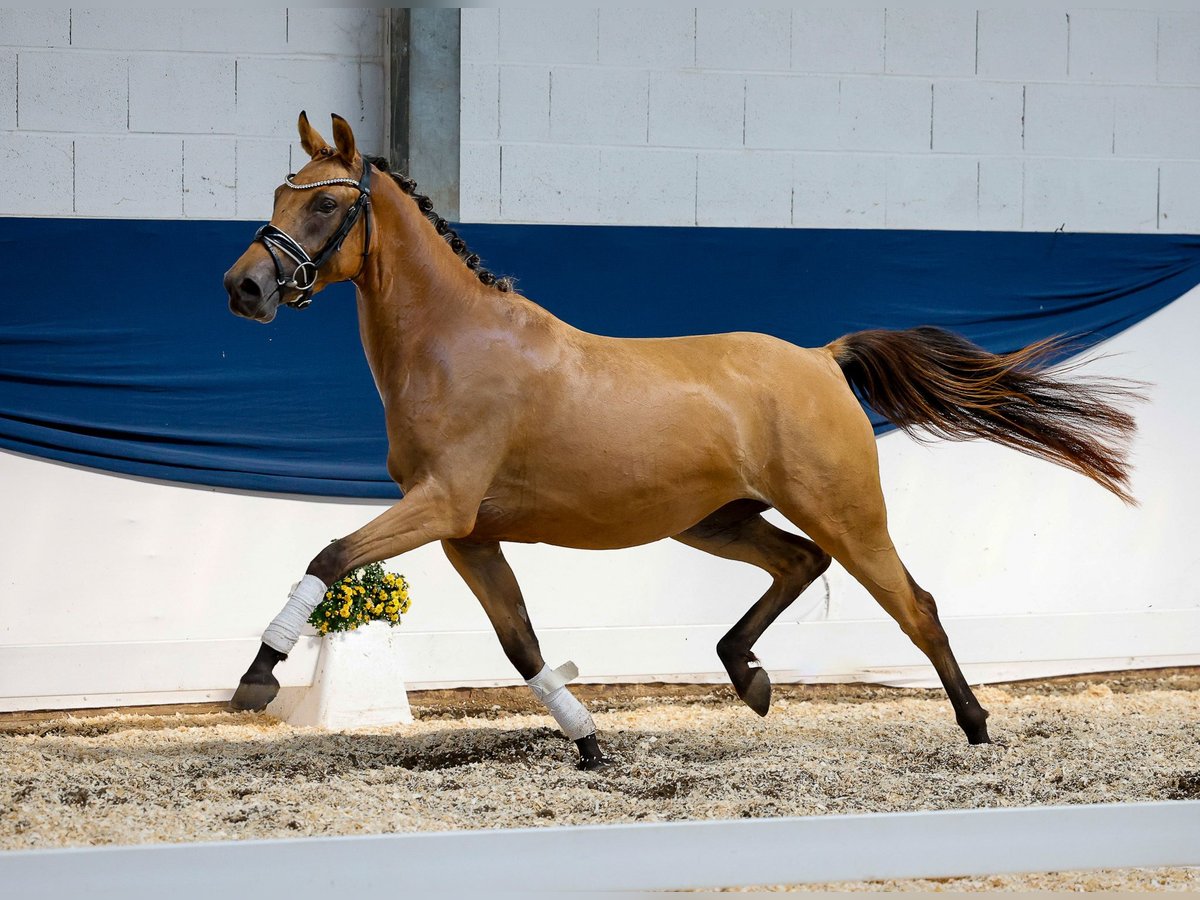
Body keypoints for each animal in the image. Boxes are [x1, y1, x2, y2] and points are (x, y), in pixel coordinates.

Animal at [220, 112, 1137, 772]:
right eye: (279, 194)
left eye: (325, 202)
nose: (244, 287)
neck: (458, 345)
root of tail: (820, 359)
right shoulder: (468, 535)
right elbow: (521, 644)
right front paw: (589, 742)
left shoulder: (439, 508)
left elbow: (330, 557)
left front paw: (258, 678)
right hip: (716, 519)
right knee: (799, 563)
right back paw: (748, 676)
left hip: (846, 514)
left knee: (915, 605)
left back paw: (976, 727)